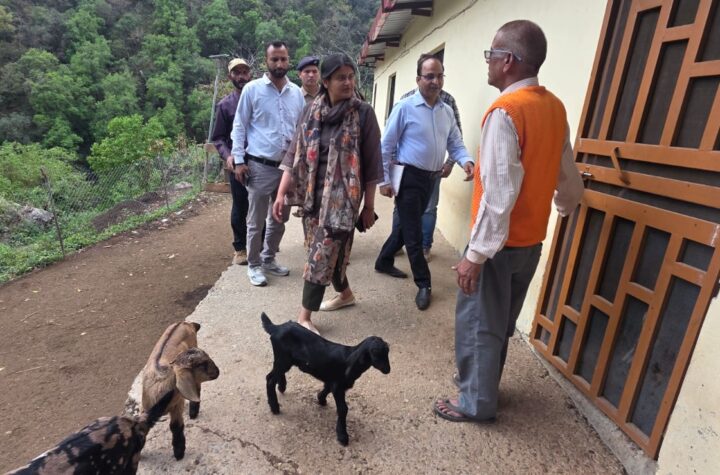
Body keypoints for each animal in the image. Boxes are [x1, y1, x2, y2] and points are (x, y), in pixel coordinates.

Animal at [141, 321, 219, 460]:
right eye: (201, 364)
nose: (217, 371)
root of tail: (185, 323)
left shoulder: (177, 404)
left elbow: (175, 426)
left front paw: (179, 452)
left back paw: (193, 412)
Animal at [261, 312, 390, 446]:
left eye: (387, 352)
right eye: (374, 353)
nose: (387, 370)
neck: (350, 359)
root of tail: (276, 328)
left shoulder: (333, 381)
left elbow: (326, 388)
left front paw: (320, 399)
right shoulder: (338, 386)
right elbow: (343, 409)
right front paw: (342, 435)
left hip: (285, 359)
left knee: (277, 374)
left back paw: (282, 386)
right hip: (283, 358)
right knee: (270, 379)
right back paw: (274, 407)